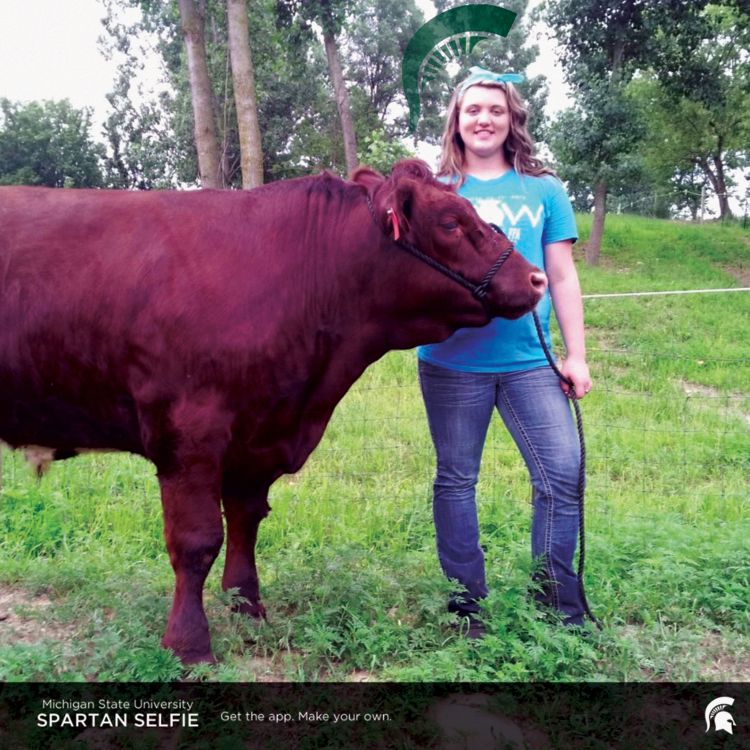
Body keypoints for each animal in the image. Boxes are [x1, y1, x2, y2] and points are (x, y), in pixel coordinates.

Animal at [0, 160, 548, 664]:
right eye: (451, 222)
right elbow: (196, 541)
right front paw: (189, 644)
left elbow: (246, 522)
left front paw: (247, 608)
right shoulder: (188, 434)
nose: (536, 277)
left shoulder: (256, 437)